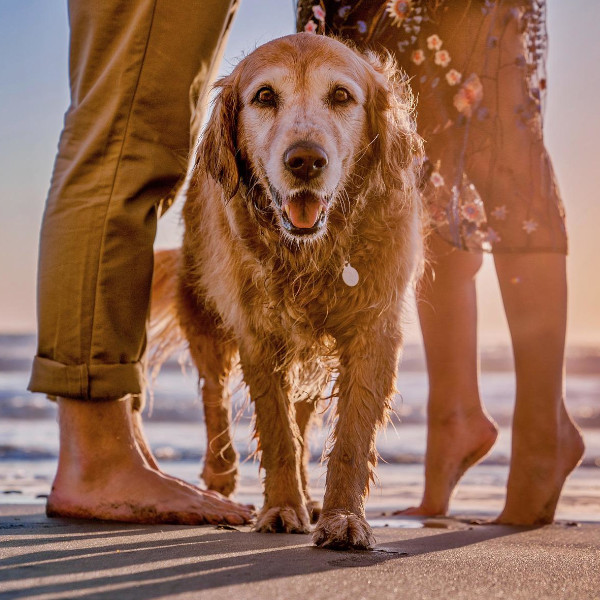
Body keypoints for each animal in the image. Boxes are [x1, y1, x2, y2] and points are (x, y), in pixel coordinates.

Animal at [151, 31, 422, 548]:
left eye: (341, 95)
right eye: (264, 96)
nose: (305, 161)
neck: (312, 252)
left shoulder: (375, 328)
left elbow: (350, 437)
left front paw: (343, 517)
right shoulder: (258, 334)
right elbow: (277, 429)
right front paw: (279, 508)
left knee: (302, 412)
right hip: (204, 310)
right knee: (213, 392)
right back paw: (219, 474)